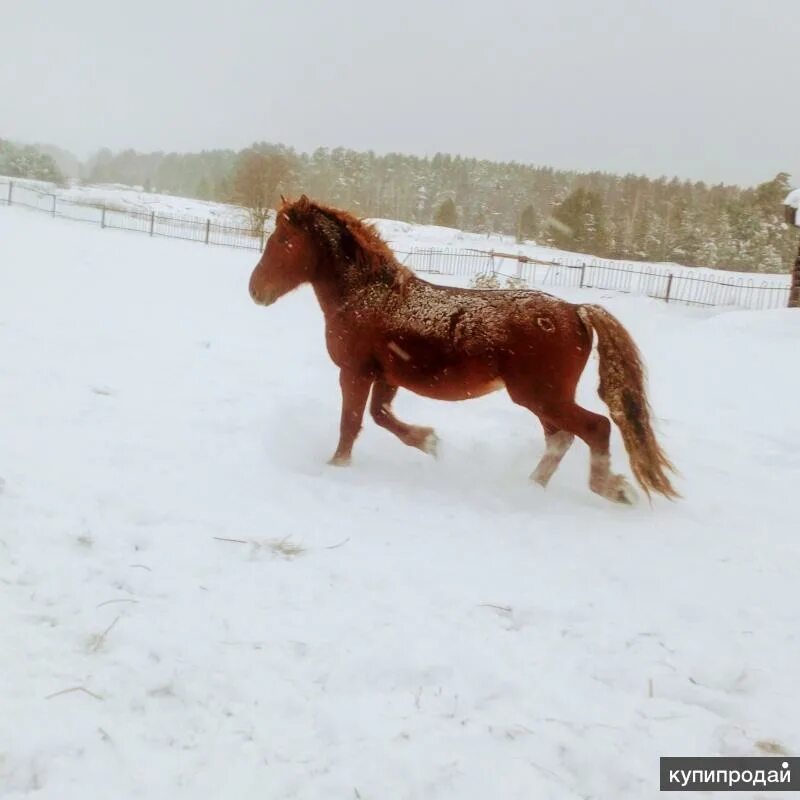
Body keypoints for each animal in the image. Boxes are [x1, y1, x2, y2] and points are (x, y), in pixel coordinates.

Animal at [248, 196, 676, 504]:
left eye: (284, 240)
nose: (256, 290)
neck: (367, 296)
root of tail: (577, 311)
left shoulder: (354, 372)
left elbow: (351, 423)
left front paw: (337, 467)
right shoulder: (387, 375)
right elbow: (381, 416)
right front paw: (429, 442)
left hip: (542, 395)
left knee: (595, 428)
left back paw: (612, 489)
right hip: (543, 398)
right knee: (561, 439)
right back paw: (532, 487)